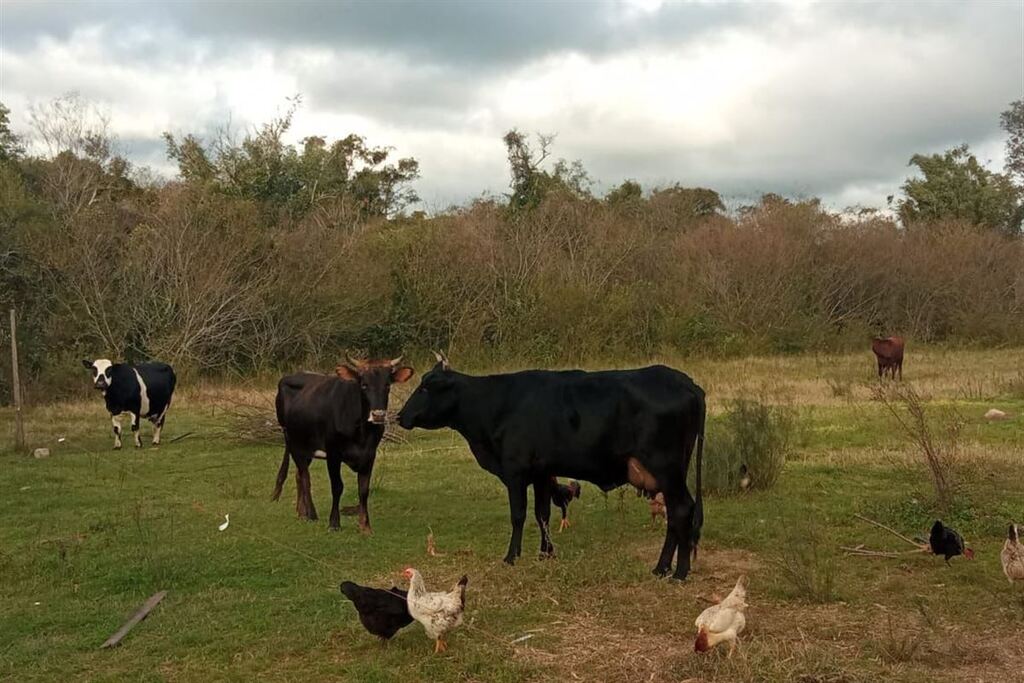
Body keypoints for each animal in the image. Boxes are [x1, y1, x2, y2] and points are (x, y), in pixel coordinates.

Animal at [274, 358, 417, 532]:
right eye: (364, 385)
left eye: (388, 385)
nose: (378, 415)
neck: (361, 433)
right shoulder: (333, 454)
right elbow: (337, 487)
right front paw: (334, 523)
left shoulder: (369, 455)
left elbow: (363, 489)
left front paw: (365, 526)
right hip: (294, 442)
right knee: (305, 477)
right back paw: (312, 514)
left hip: (306, 446)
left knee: (299, 475)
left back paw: (302, 512)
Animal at [395, 352, 708, 581]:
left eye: (425, 387)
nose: (399, 415)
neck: (494, 404)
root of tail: (685, 382)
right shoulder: (543, 473)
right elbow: (542, 514)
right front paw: (546, 553)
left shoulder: (516, 470)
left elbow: (519, 515)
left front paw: (512, 556)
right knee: (675, 514)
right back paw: (663, 568)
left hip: (666, 469)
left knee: (681, 510)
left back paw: (678, 572)